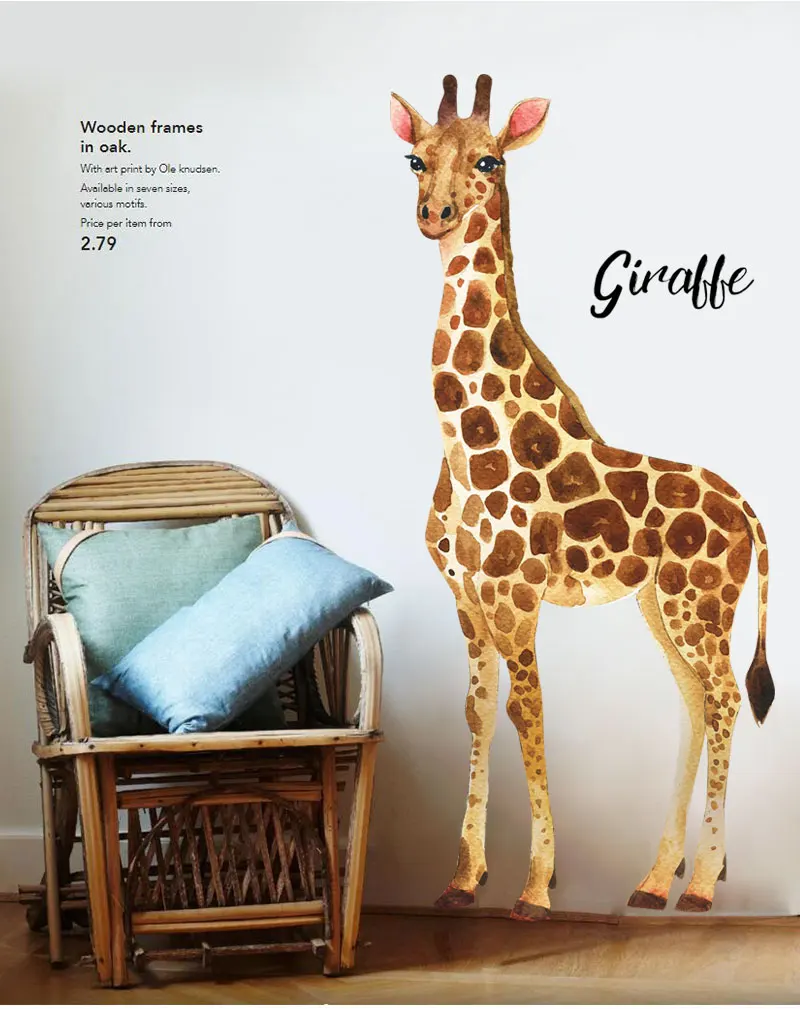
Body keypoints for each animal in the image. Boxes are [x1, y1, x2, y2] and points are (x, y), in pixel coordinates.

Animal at [390, 74, 775, 919]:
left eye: (491, 159)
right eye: (414, 159)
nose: (435, 213)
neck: (461, 442)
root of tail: (752, 514)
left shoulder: (514, 594)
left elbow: (527, 710)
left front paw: (536, 886)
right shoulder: (465, 595)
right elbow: (474, 711)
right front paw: (463, 878)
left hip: (701, 606)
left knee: (728, 695)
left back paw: (702, 882)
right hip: (660, 605)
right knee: (695, 697)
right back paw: (654, 878)